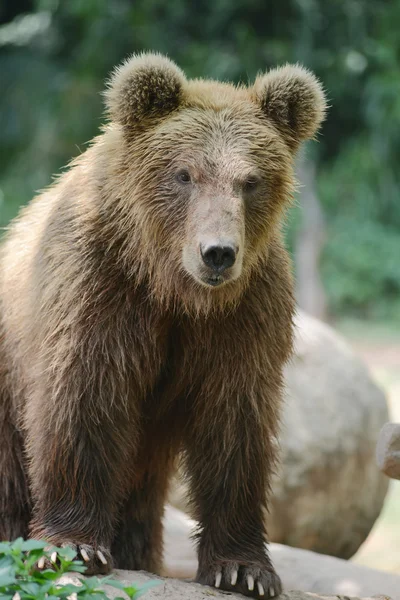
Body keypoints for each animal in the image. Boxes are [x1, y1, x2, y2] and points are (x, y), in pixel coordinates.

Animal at [0, 54, 324, 596]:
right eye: (185, 174)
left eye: (250, 180)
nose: (218, 253)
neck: (174, 290)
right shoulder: (98, 289)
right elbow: (82, 399)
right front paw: (72, 545)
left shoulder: (244, 315)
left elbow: (234, 424)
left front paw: (243, 568)